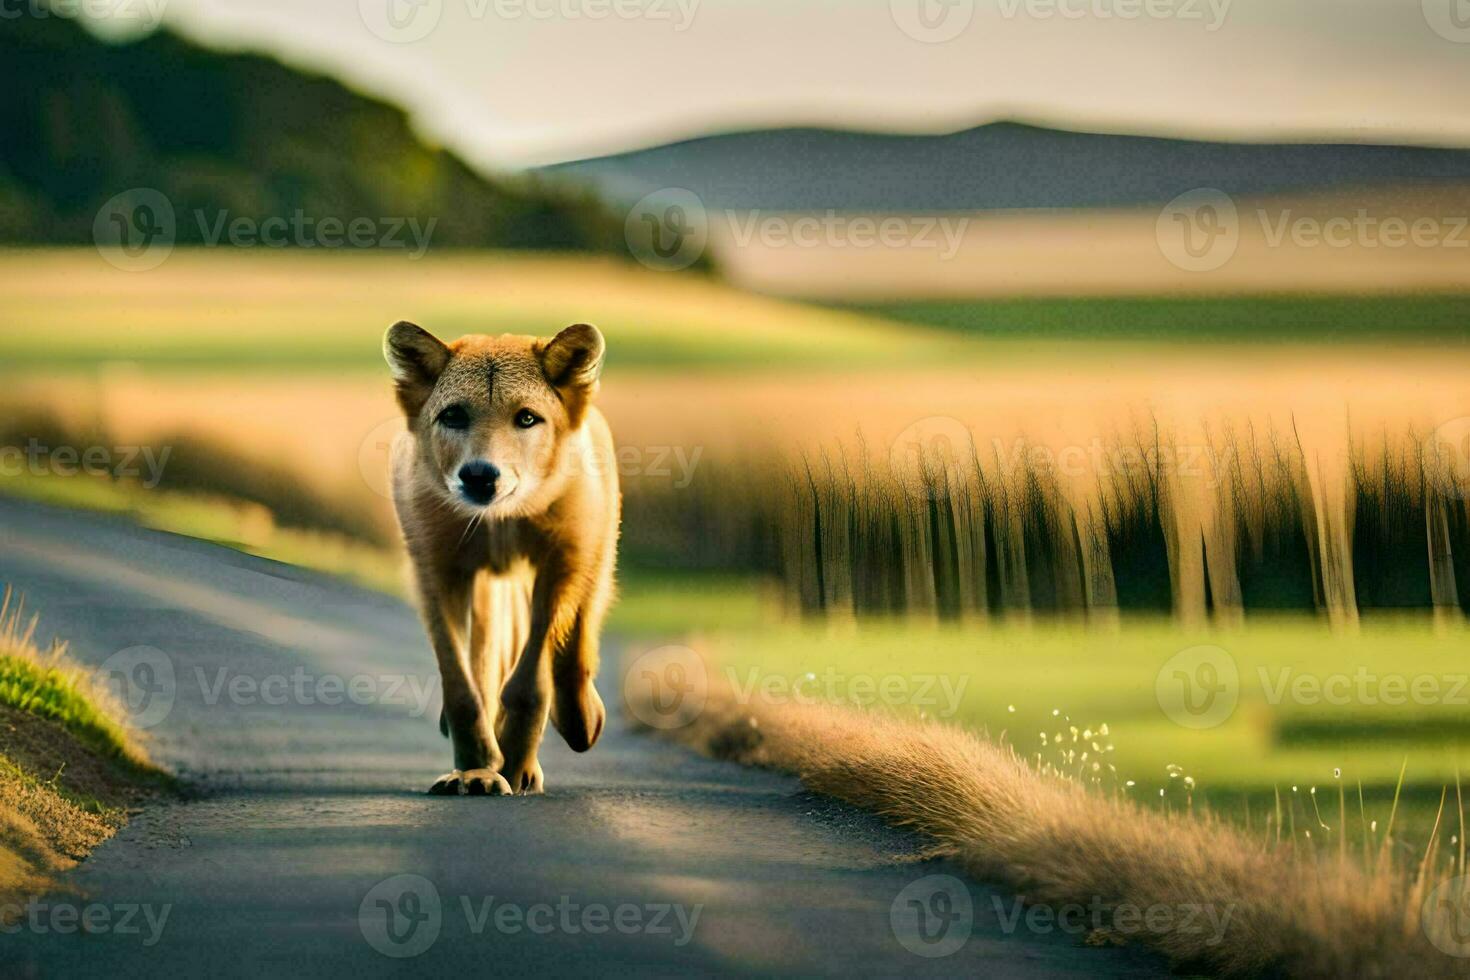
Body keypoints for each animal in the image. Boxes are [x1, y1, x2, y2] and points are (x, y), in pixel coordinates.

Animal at [382, 321, 617, 799]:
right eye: (453, 416)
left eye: (526, 418)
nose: (479, 474)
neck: (499, 520)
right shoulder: (439, 573)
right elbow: (462, 688)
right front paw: (477, 769)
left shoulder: (560, 565)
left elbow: (530, 681)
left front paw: (514, 764)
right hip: (488, 593)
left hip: (590, 560)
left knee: (577, 643)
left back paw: (581, 716)